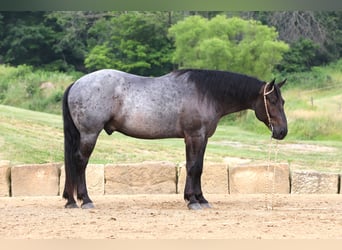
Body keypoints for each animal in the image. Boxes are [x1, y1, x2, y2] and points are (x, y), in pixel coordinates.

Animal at [62, 68, 288, 209]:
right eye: (272, 100)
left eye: (283, 101)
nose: (282, 132)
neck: (206, 94)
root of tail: (76, 84)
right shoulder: (195, 137)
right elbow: (193, 167)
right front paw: (193, 201)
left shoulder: (200, 138)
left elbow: (197, 167)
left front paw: (200, 199)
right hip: (90, 134)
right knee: (80, 162)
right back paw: (85, 200)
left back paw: (71, 201)